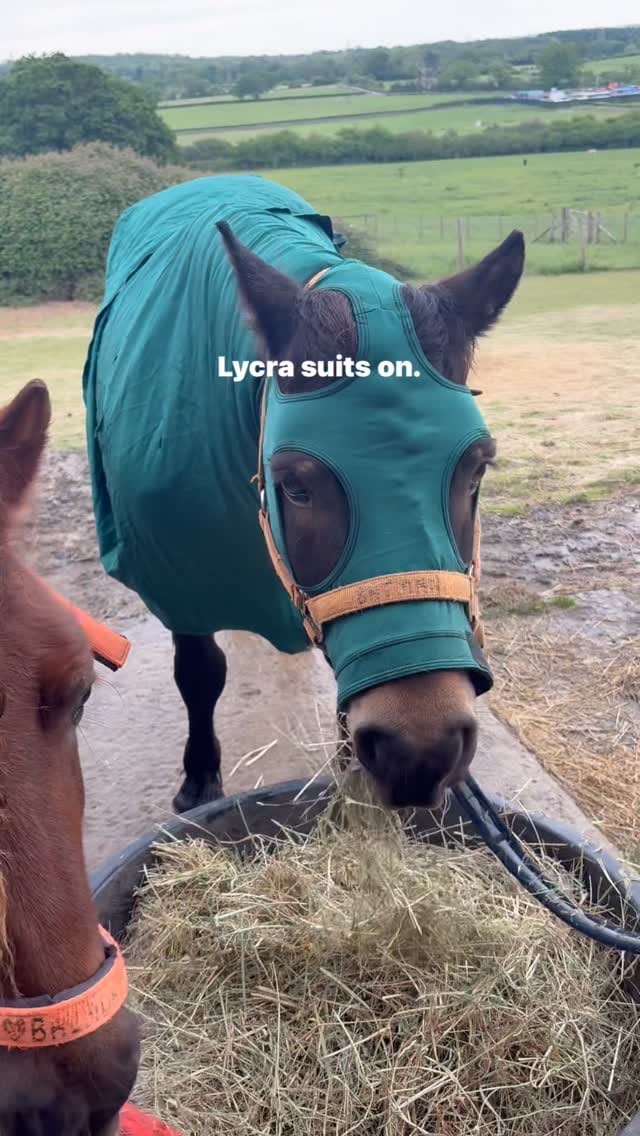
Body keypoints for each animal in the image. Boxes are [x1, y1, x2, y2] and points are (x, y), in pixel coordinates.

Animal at [82, 173, 525, 815]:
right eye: (294, 485)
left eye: (477, 469)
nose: (421, 751)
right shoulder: (179, 578)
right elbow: (199, 672)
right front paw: (200, 779)